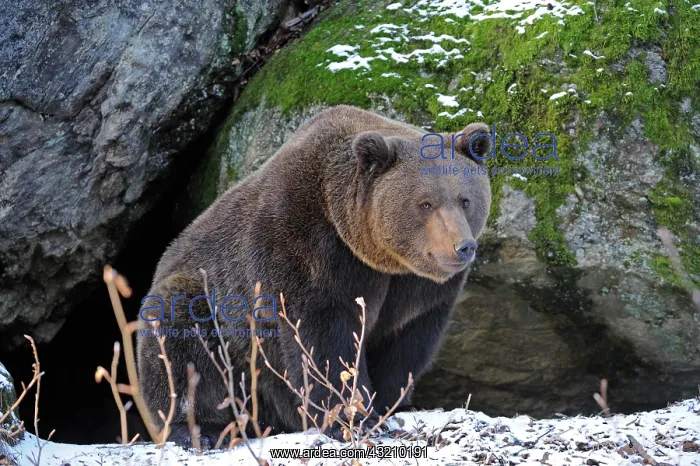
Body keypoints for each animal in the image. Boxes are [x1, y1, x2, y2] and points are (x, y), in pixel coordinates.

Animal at [136, 105, 492, 448]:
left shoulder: (418, 289)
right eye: (425, 203)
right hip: (212, 309)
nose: (462, 247)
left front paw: (391, 404)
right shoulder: (306, 250)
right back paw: (201, 429)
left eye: (465, 200)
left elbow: (405, 344)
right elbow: (324, 339)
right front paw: (350, 416)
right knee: (180, 342)